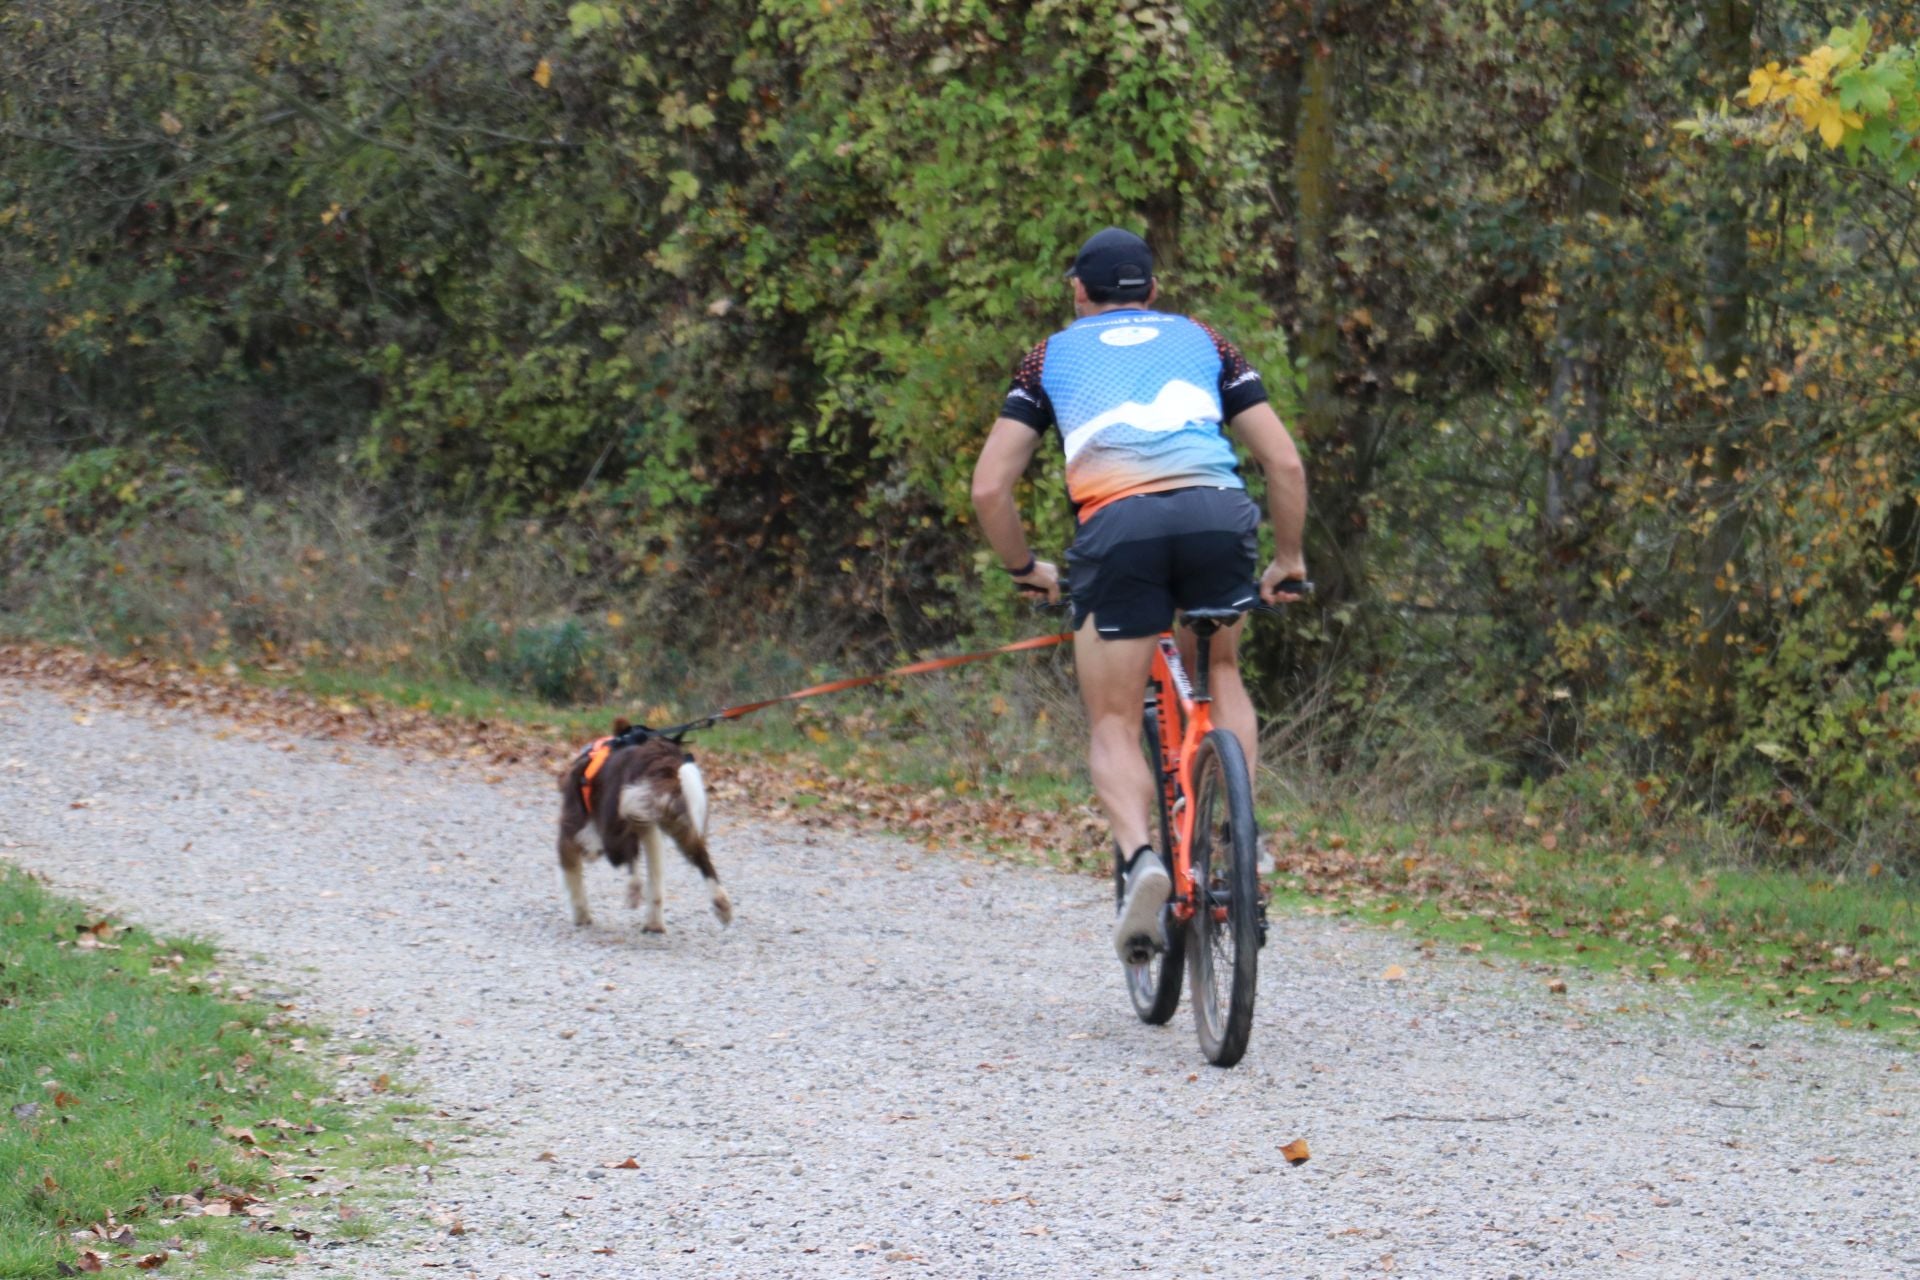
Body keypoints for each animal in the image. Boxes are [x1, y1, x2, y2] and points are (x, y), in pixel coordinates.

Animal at [560, 725, 737, 936]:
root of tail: (663, 761)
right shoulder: (650, 830)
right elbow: (655, 880)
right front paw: (654, 923)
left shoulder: (573, 830)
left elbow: (573, 878)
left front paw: (581, 916)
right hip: (681, 822)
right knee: (703, 861)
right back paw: (722, 904)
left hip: (615, 827)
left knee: (627, 855)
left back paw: (633, 890)